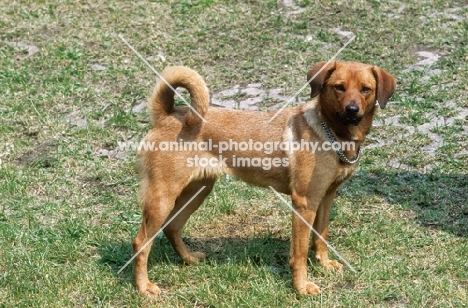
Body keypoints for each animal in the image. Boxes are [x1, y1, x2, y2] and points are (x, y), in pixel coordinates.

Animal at [132, 60, 394, 296]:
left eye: (366, 89)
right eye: (339, 87)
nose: (352, 111)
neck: (332, 133)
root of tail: (166, 115)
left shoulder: (326, 197)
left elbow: (321, 235)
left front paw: (324, 264)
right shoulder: (304, 203)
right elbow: (299, 253)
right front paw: (301, 287)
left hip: (198, 190)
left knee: (172, 226)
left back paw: (188, 259)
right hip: (162, 197)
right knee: (141, 242)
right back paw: (144, 288)